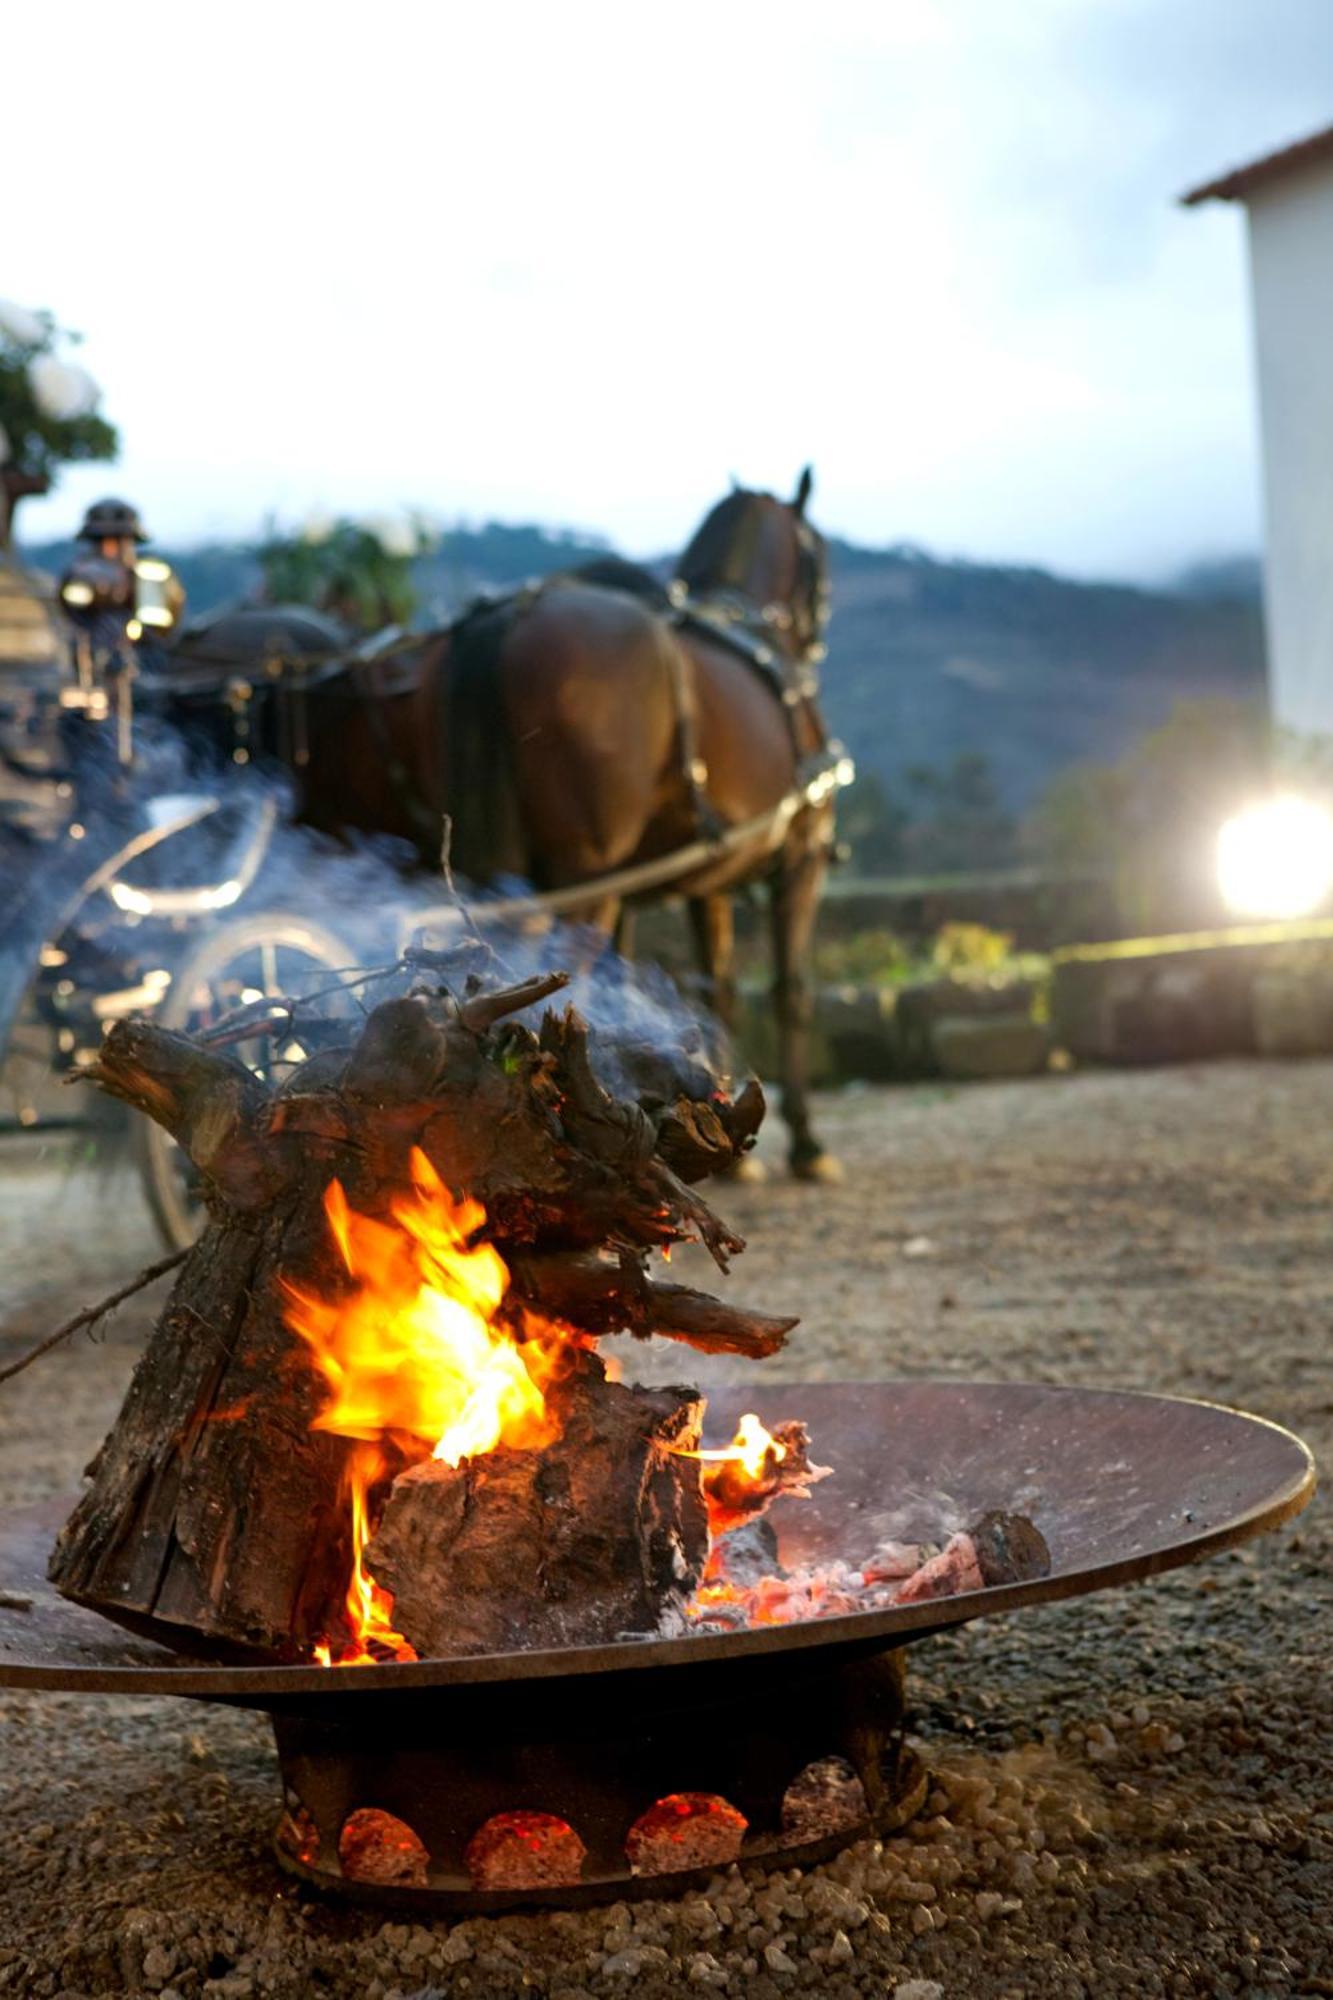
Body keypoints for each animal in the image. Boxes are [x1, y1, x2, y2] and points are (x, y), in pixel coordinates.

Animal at [288, 476, 840, 1176]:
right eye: (818, 558)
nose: (816, 633)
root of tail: (510, 617)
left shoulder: (697, 883)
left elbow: (712, 992)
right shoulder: (801, 858)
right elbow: (791, 991)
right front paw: (807, 1144)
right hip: (587, 878)